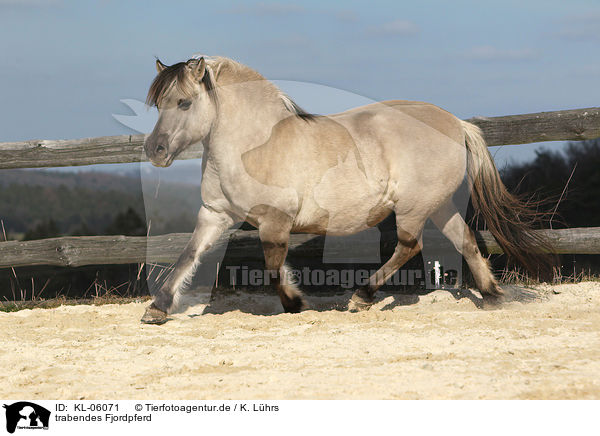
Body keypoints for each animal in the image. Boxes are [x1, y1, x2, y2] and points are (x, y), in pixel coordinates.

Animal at [138, 55, 552, 324]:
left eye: (184, 102)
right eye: (159, 104)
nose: (154, 150)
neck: (253, 144)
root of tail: (455, 123)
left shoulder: (275, 221)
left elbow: (273, 266)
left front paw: (296, 304)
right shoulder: (215, 213)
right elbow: (189, 254)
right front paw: (157, 308)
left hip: (414, 206)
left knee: (409, 246)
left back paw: (361, 298)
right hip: (439, 204)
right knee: (464, 241)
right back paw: (494, 297)